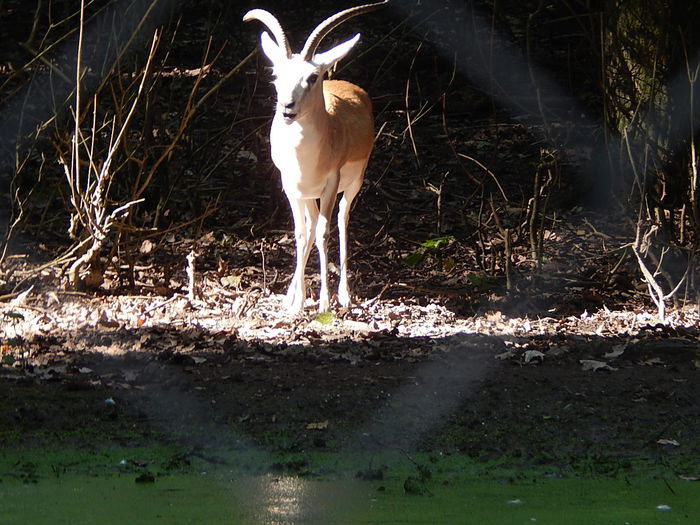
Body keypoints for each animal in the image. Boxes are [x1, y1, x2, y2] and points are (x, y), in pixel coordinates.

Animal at [243, 2, 386, 312]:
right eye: (276, 75)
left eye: (311, 77)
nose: (287, 108)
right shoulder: (291, 187)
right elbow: (300, 233)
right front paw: (295, 301)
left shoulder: (330, 185)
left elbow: (322, 233)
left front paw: (323, 302)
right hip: (309, 195)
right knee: (309, 227)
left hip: (352, 184)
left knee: (342, 219)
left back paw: (344, 294)